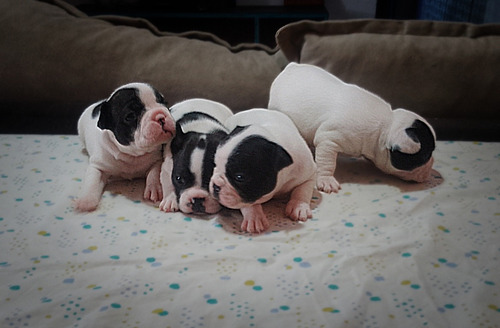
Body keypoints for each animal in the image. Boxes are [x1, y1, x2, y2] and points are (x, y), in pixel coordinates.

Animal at [73, 83, 176, 211]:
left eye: (165, 104)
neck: (132, 154)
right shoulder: (98, 165)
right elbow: (92, 179)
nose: (160, 116)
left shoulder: (157, 159)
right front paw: (85, 201)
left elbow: (154, 172)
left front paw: (154, 188)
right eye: (130, 116)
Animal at [268, 62, 436, 193]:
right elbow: (327, 162)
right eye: (426, 156)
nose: (433, 165)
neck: (386, 126)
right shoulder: (329, 139)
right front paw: (326, 180)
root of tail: (290, 67)